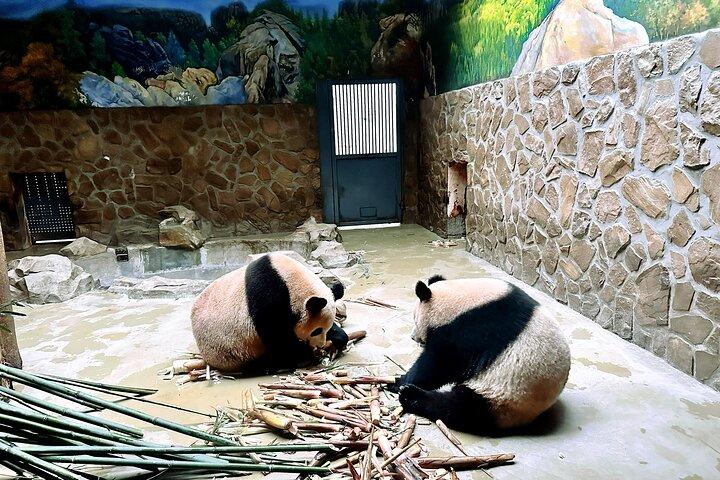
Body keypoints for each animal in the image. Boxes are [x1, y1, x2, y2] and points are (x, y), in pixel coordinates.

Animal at [191, 252, 349, 372]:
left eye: (324, 329)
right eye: (316, 330)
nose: (320, 344)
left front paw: (338, 338)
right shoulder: (269, 300)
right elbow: (278, 337)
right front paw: (304, 353)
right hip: (229, 351)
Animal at [393, 275, 571, 434]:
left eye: (415, 319)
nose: (413, 337)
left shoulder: (474, 330)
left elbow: (440, 363)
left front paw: (398, 382)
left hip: (507, 395)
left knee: (462, 409)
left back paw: (411, 396)